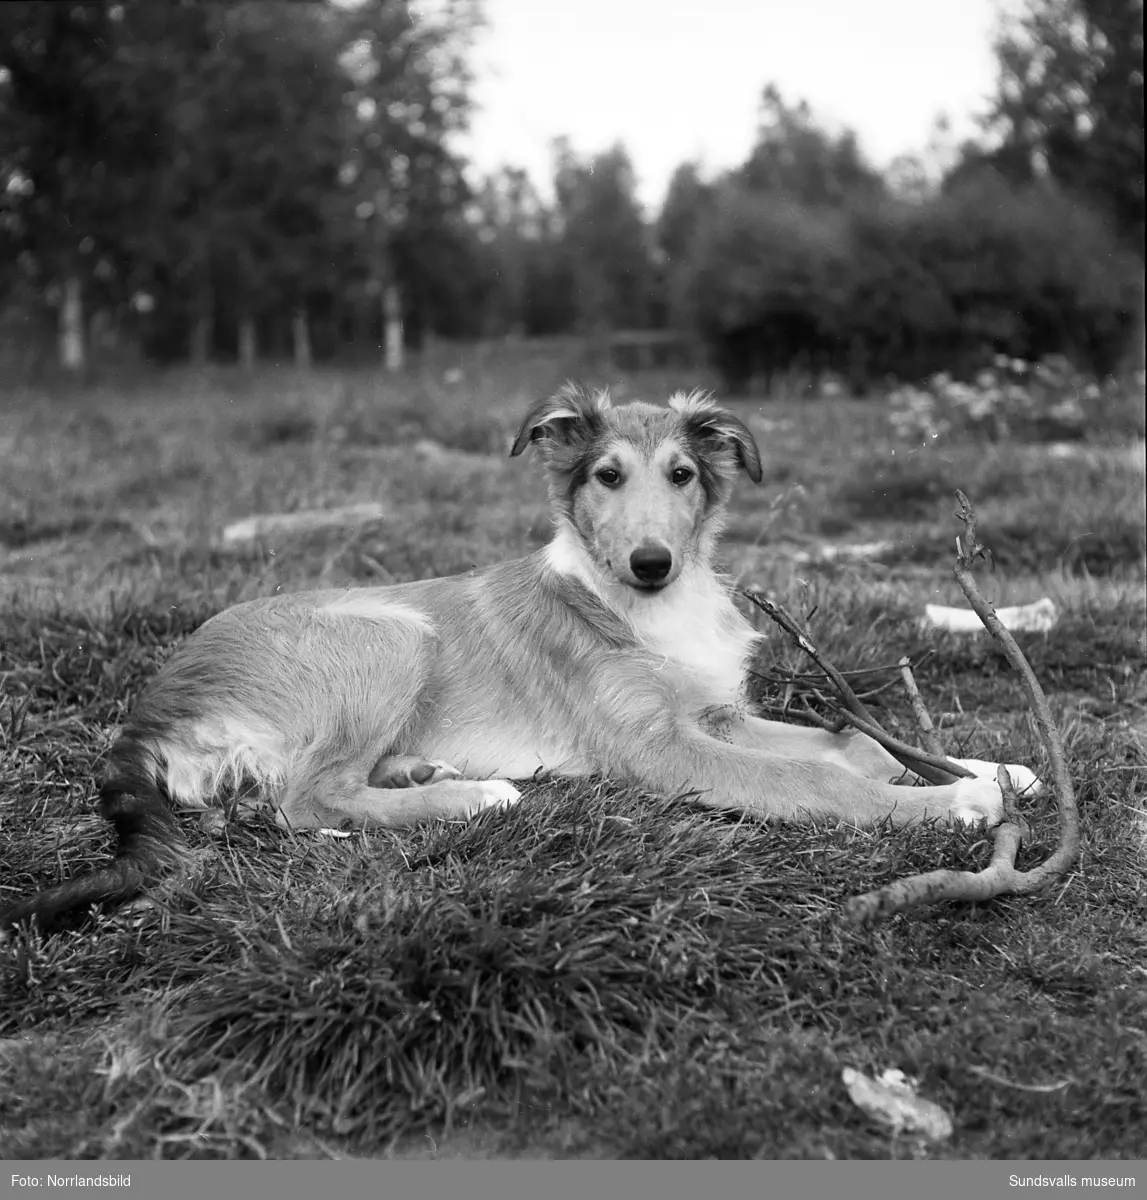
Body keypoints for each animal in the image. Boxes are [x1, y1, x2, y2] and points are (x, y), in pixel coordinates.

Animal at [0, 388, 1027, 931]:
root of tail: (143, 715)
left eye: (682, 476)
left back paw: (429, 772)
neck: (647, 609)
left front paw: (994, 767)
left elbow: (849, 744)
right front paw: (952, 804)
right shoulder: (659, 747)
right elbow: (824, 780)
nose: (650, 561)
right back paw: (477, 795)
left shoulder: (717, 714)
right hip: (391, 634)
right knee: (306, 800)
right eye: (605, 476)